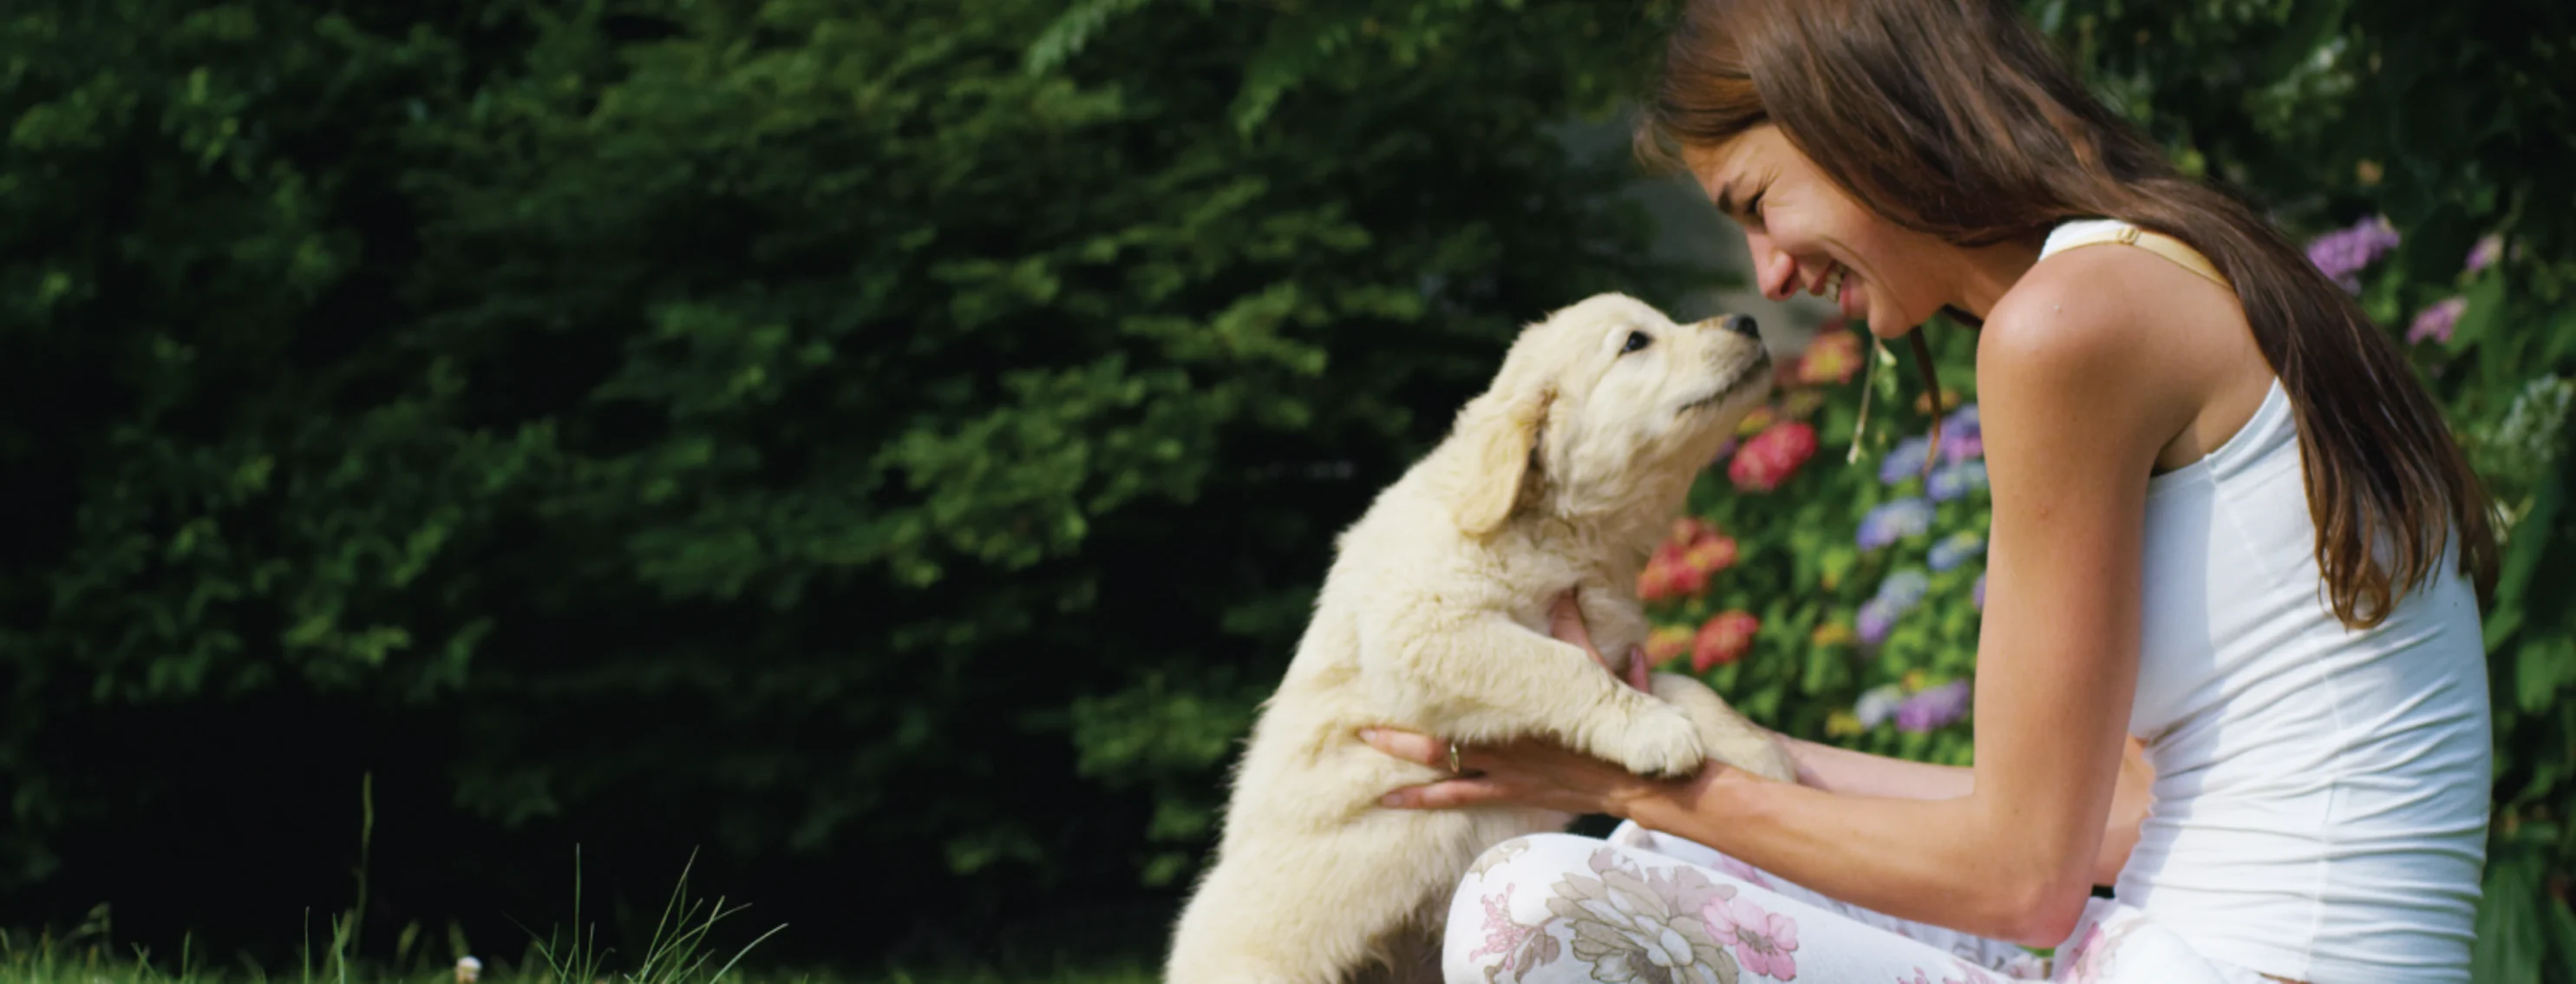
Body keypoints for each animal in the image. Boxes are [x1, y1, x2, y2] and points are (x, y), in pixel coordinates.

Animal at [1169, 293, 1793, 984]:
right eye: (1635, 342)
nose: (1746, 322)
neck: (1560, 531)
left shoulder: (1612, 640)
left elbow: (1682, 685)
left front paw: (1762, 754)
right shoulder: (1428, 630)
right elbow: (1557, 664)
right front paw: (1654, 732)